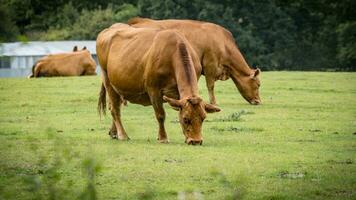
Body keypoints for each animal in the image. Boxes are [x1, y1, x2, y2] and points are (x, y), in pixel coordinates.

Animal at [128, 17, 262, 105]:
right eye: (258, 84)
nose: (259, 101)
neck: (223, 43)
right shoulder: (210, 65)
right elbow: (210, 85)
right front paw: (213, 102)